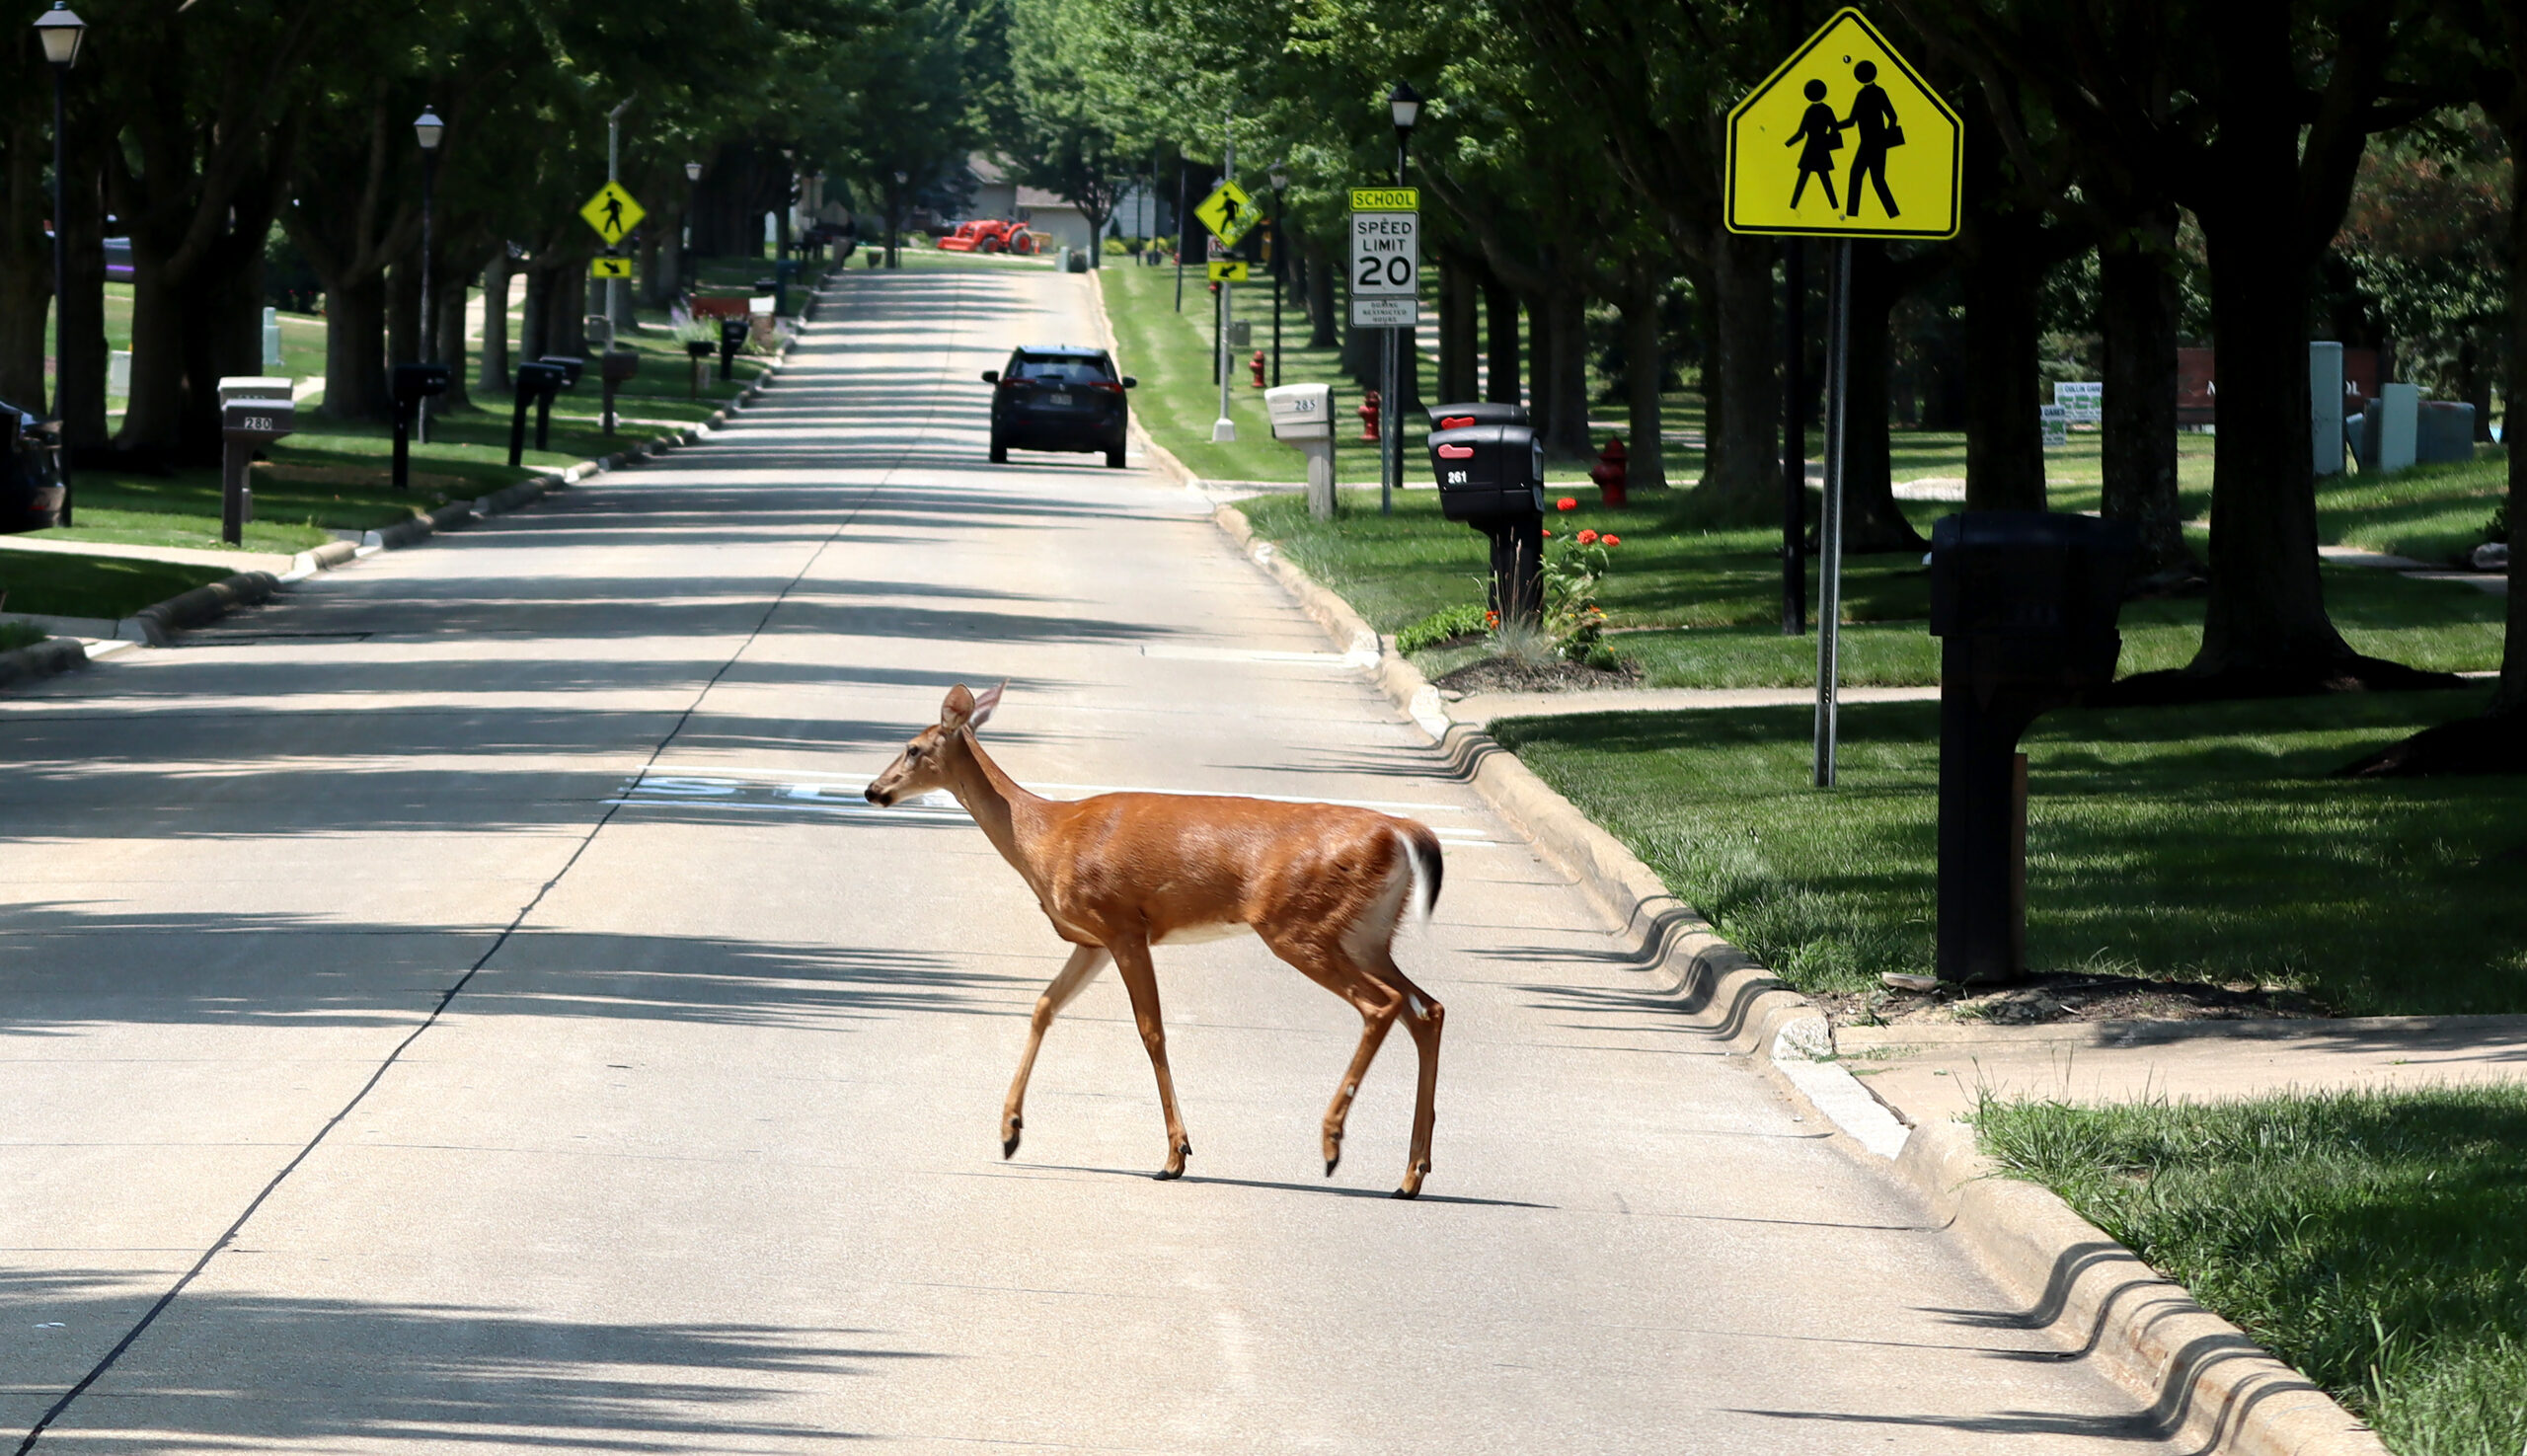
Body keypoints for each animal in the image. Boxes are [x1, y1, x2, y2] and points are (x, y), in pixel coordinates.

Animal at [863, 683, 1448, 1197]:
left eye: (912, 747)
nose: (873, 790)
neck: (1046, 835)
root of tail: (1402, 832)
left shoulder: (1123, 924)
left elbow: (1152, 1032)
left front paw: (1175, 1156)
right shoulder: (1091, 940)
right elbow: (1044, 1006)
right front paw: (1010, 1132)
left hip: (1299, 926)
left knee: (1384, 1004)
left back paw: (1332, 1143)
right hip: (1367, 932)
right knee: (1428, 1008)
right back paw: (1411, 1175)